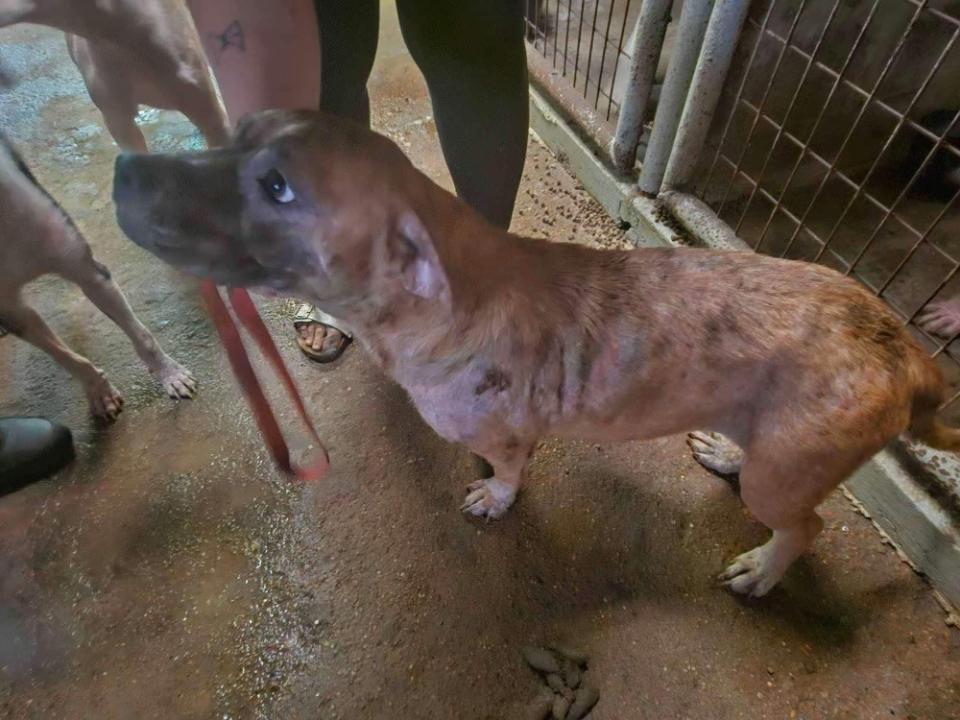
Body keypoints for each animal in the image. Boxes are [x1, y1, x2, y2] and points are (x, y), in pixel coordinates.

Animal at [109, 111, 956, 596]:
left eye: (280, 186)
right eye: (241, 128)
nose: (123, 167)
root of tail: (908, 354)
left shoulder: (511, 434)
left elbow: (511, 473)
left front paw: (495, 497)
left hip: (787, 479)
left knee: (804, 529)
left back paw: (763, 572)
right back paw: (725, 452)